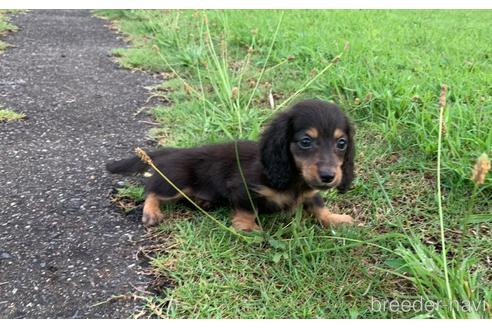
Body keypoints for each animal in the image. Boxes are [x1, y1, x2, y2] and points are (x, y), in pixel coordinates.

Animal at [106, 99, 354, 231]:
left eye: (341, 143)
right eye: (305, 142)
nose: (328, 176)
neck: (294, 178)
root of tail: (175, 151)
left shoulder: (311, 193)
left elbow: (319, 206)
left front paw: (334, 219)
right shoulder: (242, 187)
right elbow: (248, 209)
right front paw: (248, 227)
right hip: (176, 182)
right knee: (152, 191)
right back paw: (151, 212)